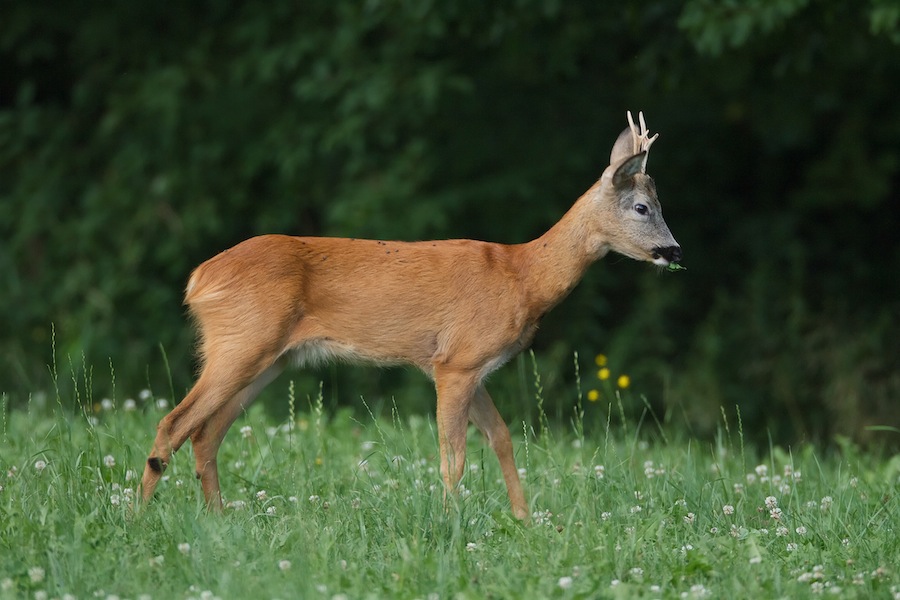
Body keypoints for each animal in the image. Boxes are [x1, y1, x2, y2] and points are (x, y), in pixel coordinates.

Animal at [137, 111, 680, 520]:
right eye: (641, 206)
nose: (674, 251)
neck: (522, 276)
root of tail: (198, 279)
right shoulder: (456, 361)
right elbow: (453, 456)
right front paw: (451, 521)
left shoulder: (473, 367)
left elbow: (502, 439)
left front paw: (525, 520)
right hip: (242, 341)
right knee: (174, 422)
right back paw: (138, 516)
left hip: (269, 358)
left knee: (206, 433)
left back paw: (217, 517)